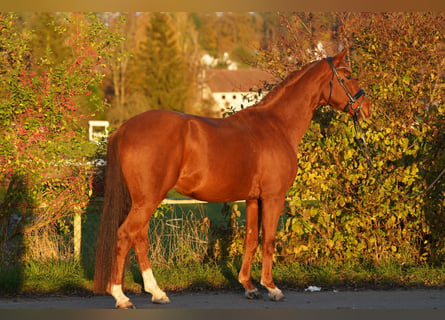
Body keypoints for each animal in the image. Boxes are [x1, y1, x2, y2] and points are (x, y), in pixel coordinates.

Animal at [92, 50, 370, 308]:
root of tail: (124, 128)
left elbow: (251, 239)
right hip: (148, 199)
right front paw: (272, 287)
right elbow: (268, 240)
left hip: (144, 200)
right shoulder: (273, 197)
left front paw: (249, 286)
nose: (366, 108)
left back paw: (156, 292)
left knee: (139, 238)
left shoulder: (253, 199)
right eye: (347, 76)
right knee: (126, 234)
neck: (276, 125)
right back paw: (121, 296)